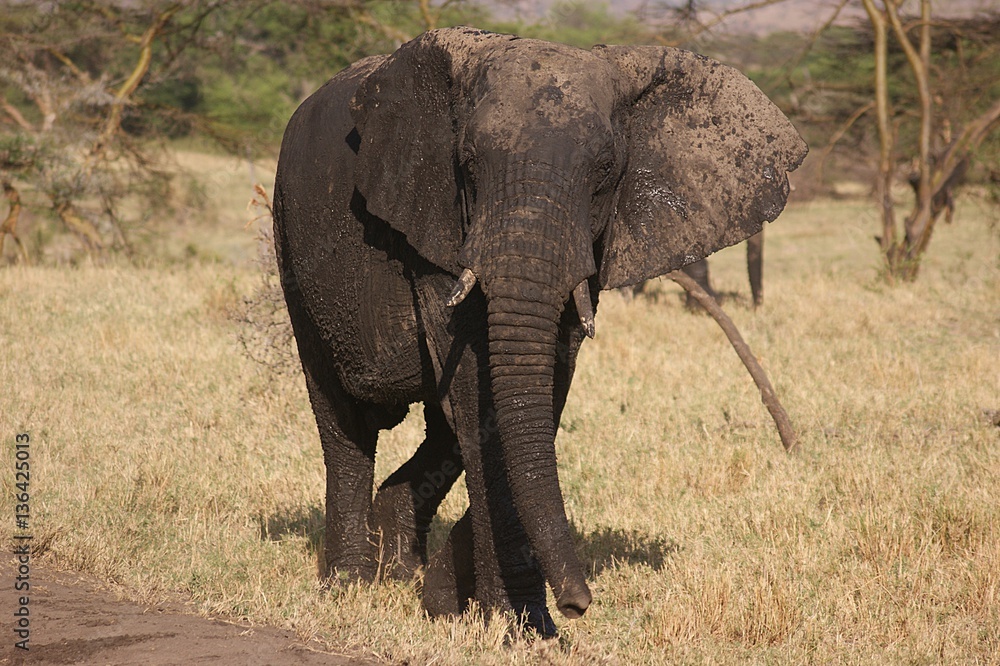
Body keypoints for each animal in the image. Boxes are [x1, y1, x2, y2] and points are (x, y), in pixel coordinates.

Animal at [272, 27, 807, 634]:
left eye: (605, 170)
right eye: (468, 164)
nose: (579, 604)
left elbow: (540, 384)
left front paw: (467, 607)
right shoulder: (437, 228)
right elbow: (478, 390)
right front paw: (517, 627)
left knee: (438, 428)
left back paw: (398, 563)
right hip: (291, 239)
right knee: (344, 420)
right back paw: (352, 584)